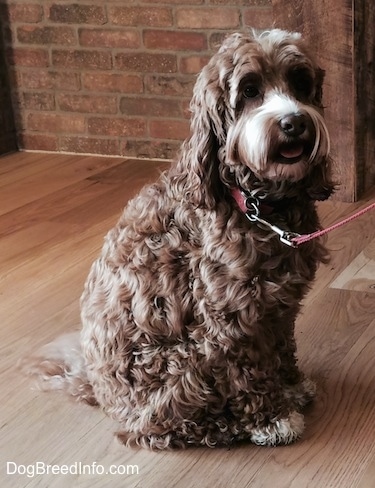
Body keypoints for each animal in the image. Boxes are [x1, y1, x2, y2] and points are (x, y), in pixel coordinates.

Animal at [23, 28, 334, 450]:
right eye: (250, 91)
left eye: (300, 83)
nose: (293, 122)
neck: (257, 203)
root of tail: (97, 389)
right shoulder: (230, 321)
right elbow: (251, 373)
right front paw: (272, 417)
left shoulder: (279, 310)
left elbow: (283, 349)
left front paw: (292, 387)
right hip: (185, 365)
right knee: (160, 430)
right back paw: (225, 425)